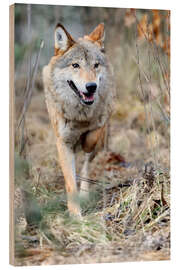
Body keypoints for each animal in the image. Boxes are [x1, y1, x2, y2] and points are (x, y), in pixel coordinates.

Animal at [42, 22, 115, 217]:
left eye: (96, 65)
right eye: (75, 65)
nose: (91, 87)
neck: (79, 115)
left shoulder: (103, 120)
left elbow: (91, 138)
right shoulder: (63, 142)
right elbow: (70, 182)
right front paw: (75, 215)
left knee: (88, 166)